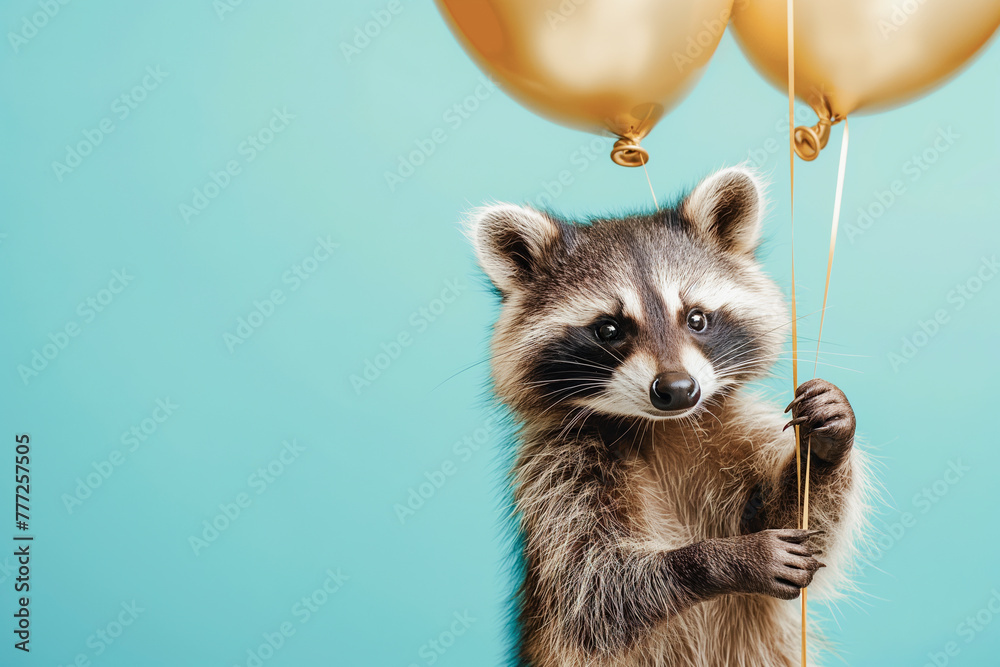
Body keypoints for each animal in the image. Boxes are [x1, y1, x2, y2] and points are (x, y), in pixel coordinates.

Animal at [469, 167, 868, 666]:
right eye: (608, 329)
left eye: (696, 318)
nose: (678, 390)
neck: (665, 427)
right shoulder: (559, 473)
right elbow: (596, 586)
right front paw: (721, 559)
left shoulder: (733, 428)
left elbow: (800, 526)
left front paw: (827, 444)